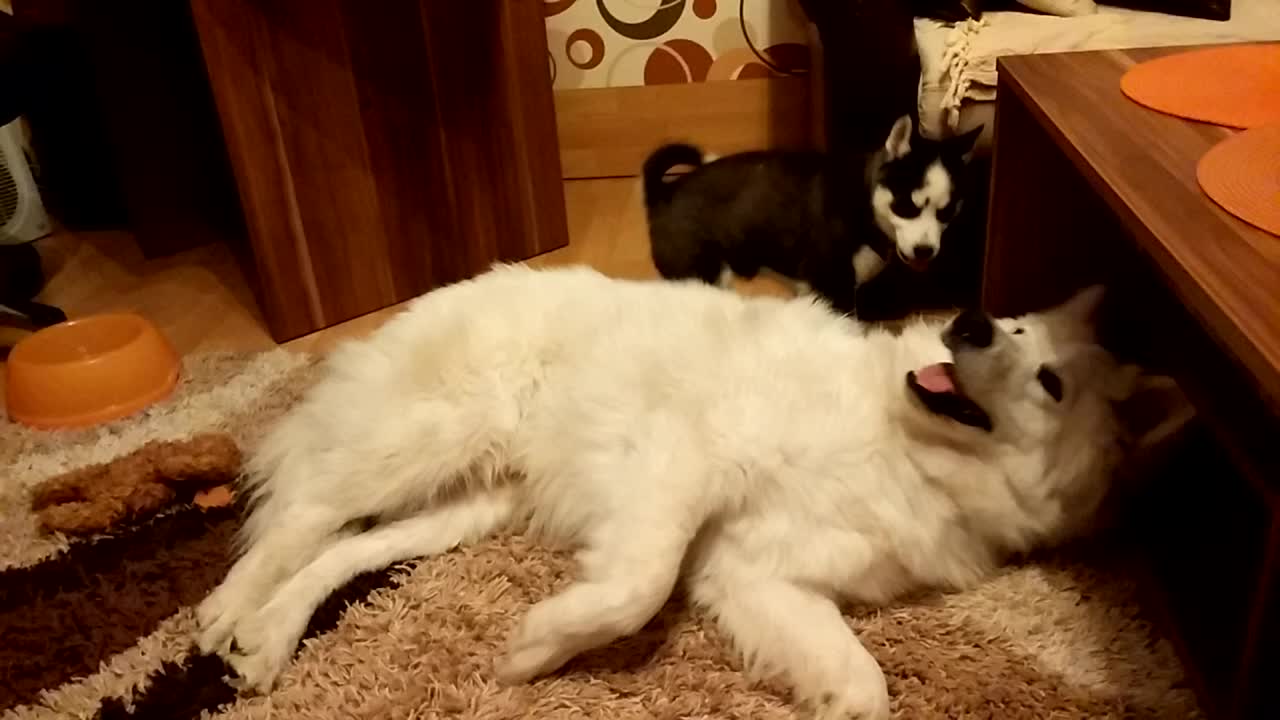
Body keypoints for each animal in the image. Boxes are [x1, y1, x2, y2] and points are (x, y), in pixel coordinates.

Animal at [199, 263, 1152, 717]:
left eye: (1051, 381)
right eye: (1018, 324)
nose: (971, 321)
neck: (903, 442)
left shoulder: (760, 575)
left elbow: (865, 687)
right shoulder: (686, 458)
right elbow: (638, 587)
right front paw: (537, 650)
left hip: (466, 508)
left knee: (344, 549)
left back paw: (267, 639)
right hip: (433, 436)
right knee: (302, 514)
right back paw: (223, 610)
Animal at [640, 117, 977, 313]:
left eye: (947, 212)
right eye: (906, 206)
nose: (925, 250)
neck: (863, 201)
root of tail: (663, 194)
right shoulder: (833, 287)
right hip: (702, 274)